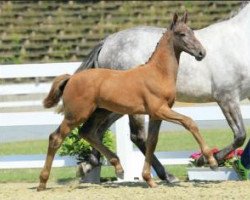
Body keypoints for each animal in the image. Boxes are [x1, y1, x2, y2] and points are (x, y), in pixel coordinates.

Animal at [37, 12, 217, 191]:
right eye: (181, 34)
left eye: (192, 32)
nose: (201, 53)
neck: (157, 72)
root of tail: (71, 78)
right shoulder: (160, 110)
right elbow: (189, 122)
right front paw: (212, 161)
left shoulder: (156, 115)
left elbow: (152, 142)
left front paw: (149, 179)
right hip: (77, 114)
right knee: (56, 138)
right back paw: (42, 182)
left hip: (101, 111)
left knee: (87, 132)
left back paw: (118, 167)